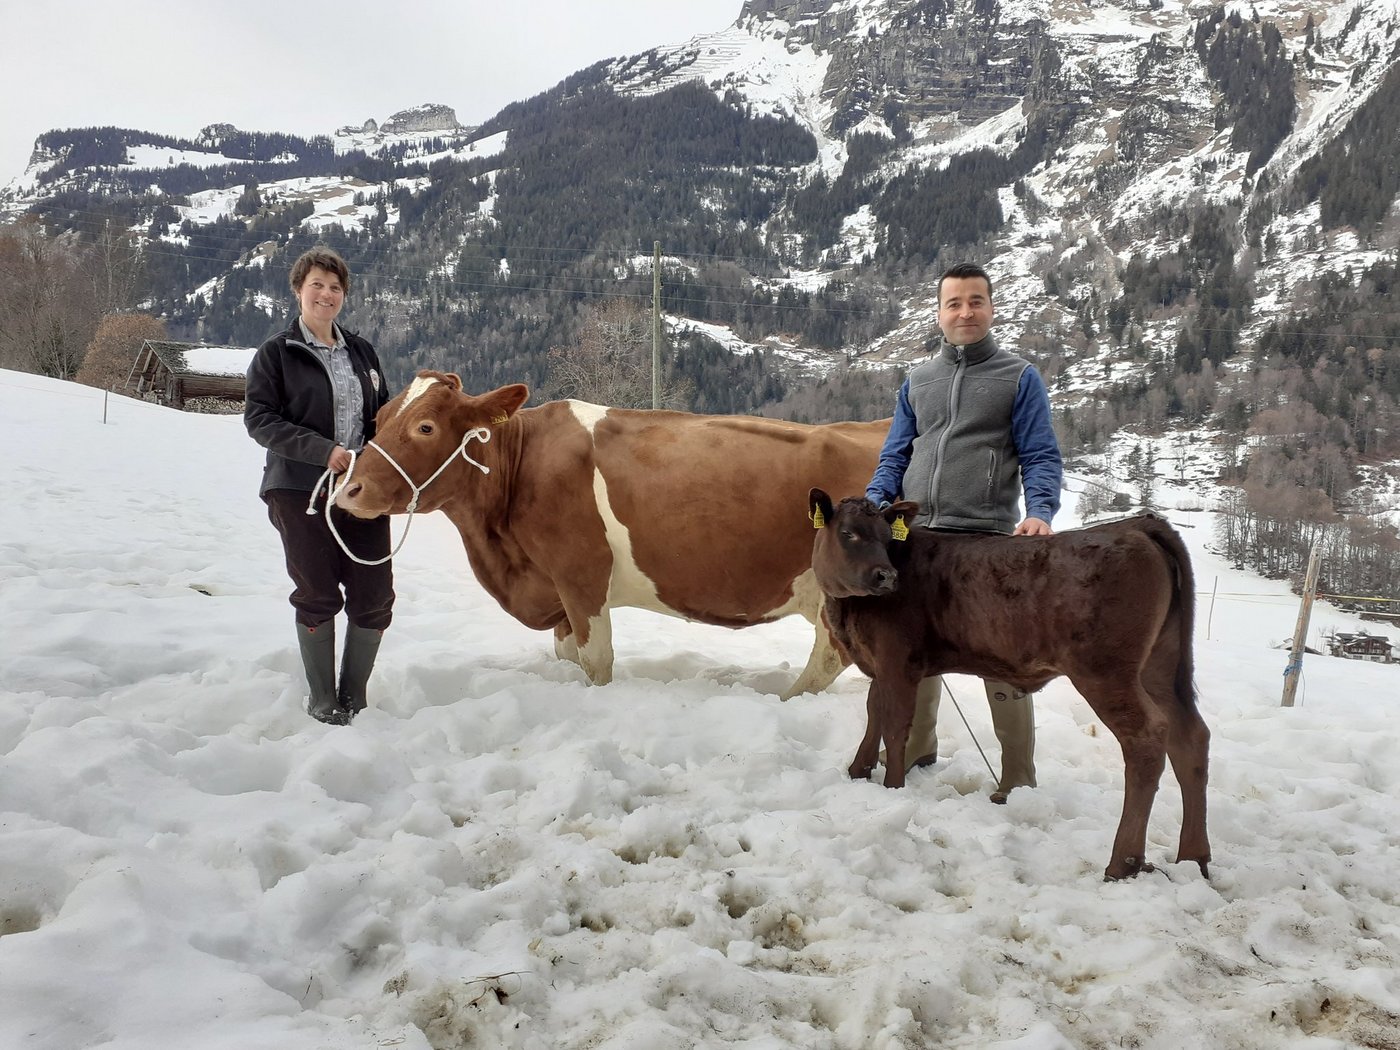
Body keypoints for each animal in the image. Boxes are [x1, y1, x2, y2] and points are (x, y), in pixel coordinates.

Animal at [332, 371, 887, 698]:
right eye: (379, 417)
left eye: (425, 427)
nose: (348, 489)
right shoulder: (556, 589)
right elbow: (567, 653)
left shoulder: (581, 573)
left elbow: (596, 658)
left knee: (830, 655)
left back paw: (788, 698)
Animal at [807, 489, 1211, 881]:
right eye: (848, 533)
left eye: (886, 537)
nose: (886, 576)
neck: (848, 611)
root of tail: (1136, 526)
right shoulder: (878, 664)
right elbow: (873, 713)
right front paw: (858, 771)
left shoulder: (898, 662)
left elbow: (894, 726)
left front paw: (892, 789)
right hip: (1159, 665)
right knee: (1190, 737)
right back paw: (1194, 858)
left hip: (1106, 671)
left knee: (1147, 737)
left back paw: (1123, 863)